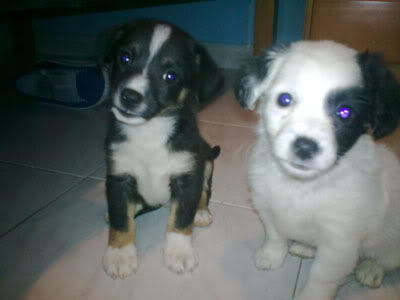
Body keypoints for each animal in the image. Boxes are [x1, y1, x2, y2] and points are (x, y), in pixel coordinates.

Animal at [97, 19, 222, 278]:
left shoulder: (187, 175)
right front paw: (120, 253)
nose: (130, 96)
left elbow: (181, 218)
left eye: (170, 76)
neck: (149, 131)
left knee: (205, 192)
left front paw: (179, 252)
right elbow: (121, 219)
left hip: (206, 160)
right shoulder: (118, 177)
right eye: (125, 58)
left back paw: (201, 212)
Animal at [234, 40, 400, 300]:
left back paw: (371, 269)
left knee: (386, 259)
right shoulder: (265, 204)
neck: (300, 185)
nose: (304, 146)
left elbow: (322, 278)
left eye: (345, 112)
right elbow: (274, 234)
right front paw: (271, 256)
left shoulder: (339, 242)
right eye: (284, 99)